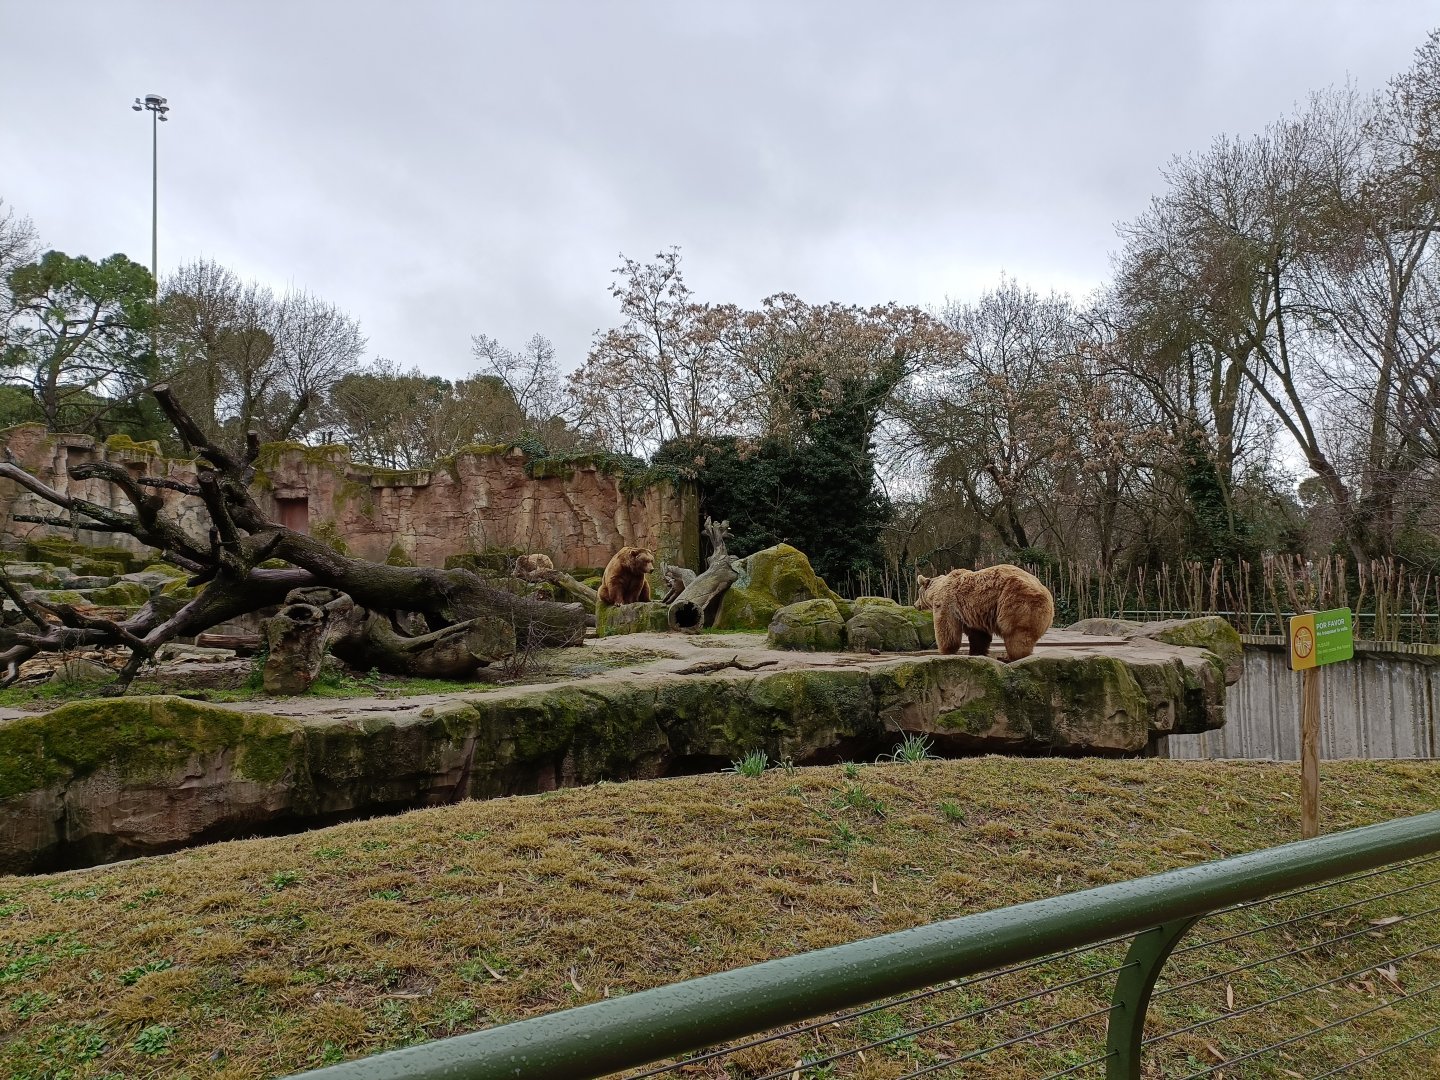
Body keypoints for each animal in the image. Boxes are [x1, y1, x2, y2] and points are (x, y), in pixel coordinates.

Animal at [914, 564, 1054, 662]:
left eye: (918, 594)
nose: (915, 605)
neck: (935, 592)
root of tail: (1048, 595)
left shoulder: (947, 604)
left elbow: (947, 629)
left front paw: (946, 651)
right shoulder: (973, 613)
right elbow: (979, 635)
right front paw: (976, 652)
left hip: (1016, 600)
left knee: (1016, 633)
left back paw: (1010, 657)